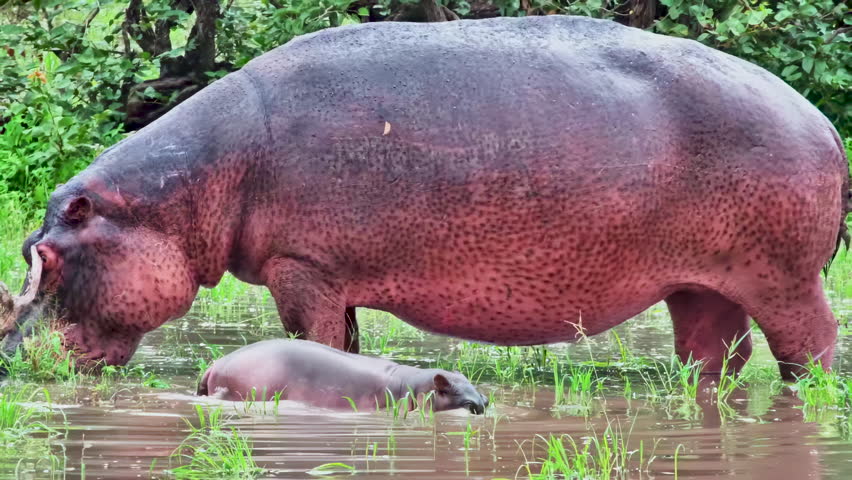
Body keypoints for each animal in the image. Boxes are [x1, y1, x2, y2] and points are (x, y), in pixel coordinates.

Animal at [1, 15, 848, 380]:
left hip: (784, 278)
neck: (190, 186)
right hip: (700, 284)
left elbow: (310, 337)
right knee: (715, 357)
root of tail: (821, 122)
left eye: (46, 256)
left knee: (809, 349)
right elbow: (342, 345)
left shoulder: (301, 267)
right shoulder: (331, 274)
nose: (13, 360)